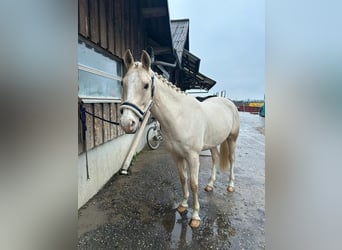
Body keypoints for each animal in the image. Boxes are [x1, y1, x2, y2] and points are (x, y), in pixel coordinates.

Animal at [120, 49, 240, 228]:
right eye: (123, 83)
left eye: (146, 85)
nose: (127, 123)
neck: (180, 117)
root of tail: (229, 102)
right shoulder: (176, 155)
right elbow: (183, 179)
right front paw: (183, 205)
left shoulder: (193, 157)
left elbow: (194, 184)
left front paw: (195, 216)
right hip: (213, 143)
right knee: (215, 159)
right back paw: (210, 185)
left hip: (232, 139)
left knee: (231, 160)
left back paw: (231, 186)